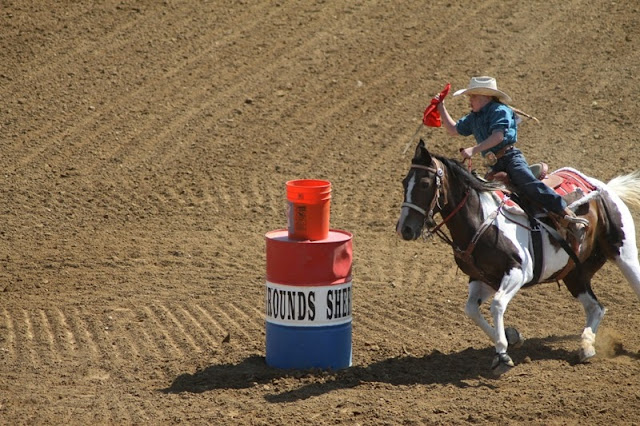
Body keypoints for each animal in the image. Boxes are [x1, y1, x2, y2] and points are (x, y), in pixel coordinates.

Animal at [398, 141, 640, 372]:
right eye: (403, 182)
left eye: (424, 183)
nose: (405, 229)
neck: (481, 219)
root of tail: (606, 188)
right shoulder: (483, 278)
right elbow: (471, 309)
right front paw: (511, 338)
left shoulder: (518, 272)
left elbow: (497, 305)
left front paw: (502, 355)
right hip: (574, 273)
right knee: (595, 307)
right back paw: (586, 346)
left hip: (625, 254)